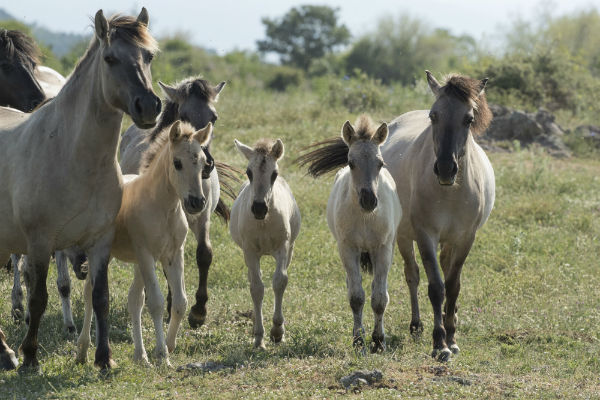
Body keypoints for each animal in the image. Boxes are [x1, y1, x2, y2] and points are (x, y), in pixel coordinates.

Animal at [0, 9, 161, 372]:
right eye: (110, 58)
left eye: (148, 56)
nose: (148, 106)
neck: (70, 154)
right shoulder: (40, 243)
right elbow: (38, 297)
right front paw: (30, 356)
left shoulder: (100, 242)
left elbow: (100, 297)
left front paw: (104, 358)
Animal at [75, 121, 216, 366]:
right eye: (177, 163)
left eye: (203, 164)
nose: (197, 203)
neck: (162, 207)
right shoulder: (147, 254)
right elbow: (157, 303)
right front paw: (162, 355)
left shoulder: (173, 255)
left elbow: (179, 302)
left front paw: (169, 345)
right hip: (105, 255)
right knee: (89, 293)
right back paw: (83, 350)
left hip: (137, 263)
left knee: (134, 299)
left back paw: (140, 356)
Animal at [232, 139, 302, 348]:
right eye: (249, 172)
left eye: (274, 174)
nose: (259, 208)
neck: (263, 222)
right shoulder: (250, 252)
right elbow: (256, 288)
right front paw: (258, 338)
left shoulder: (283, 248)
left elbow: (280, 281)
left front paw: (277, 331)